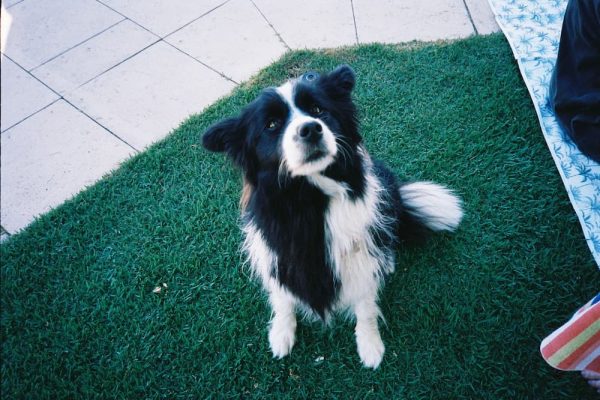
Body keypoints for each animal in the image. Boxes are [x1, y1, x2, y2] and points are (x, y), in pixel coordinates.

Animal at [203, 65, 464, 368]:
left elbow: (365, 304)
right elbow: (282, 297)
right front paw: (281, 332)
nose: (311, 129)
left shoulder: (358, 250)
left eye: (318, 110)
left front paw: (370, 344)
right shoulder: (276, 251)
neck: (308, 199)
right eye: (271, 125)